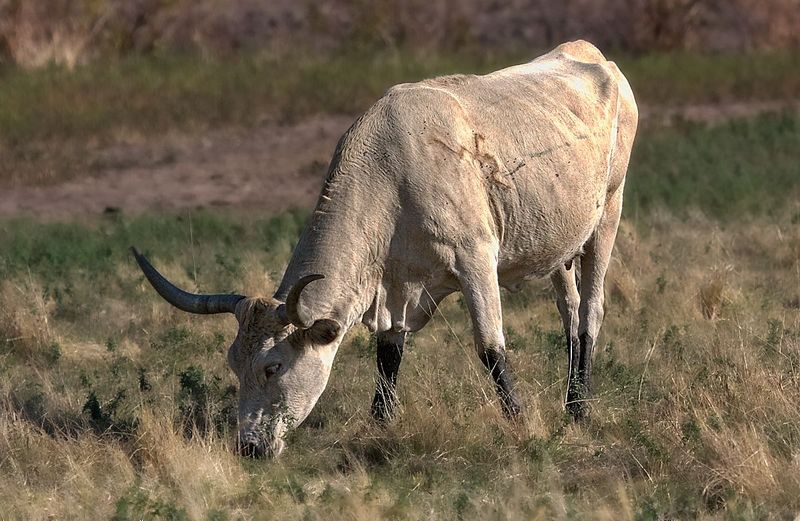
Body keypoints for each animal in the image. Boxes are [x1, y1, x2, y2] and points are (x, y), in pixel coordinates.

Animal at [132, 40, 638, 458]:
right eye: (233, 363)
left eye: (273, 367)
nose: (249, 447)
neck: (392, 174)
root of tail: (592, 53)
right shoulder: (396, 284)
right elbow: (389, 353)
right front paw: (379, 423)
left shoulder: (475, 257)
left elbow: (491, 347)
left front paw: (518, 421)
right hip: (562, 243)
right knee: (568, 312)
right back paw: (571, 398)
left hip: (608, 214)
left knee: (590, 311)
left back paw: (579, 408)